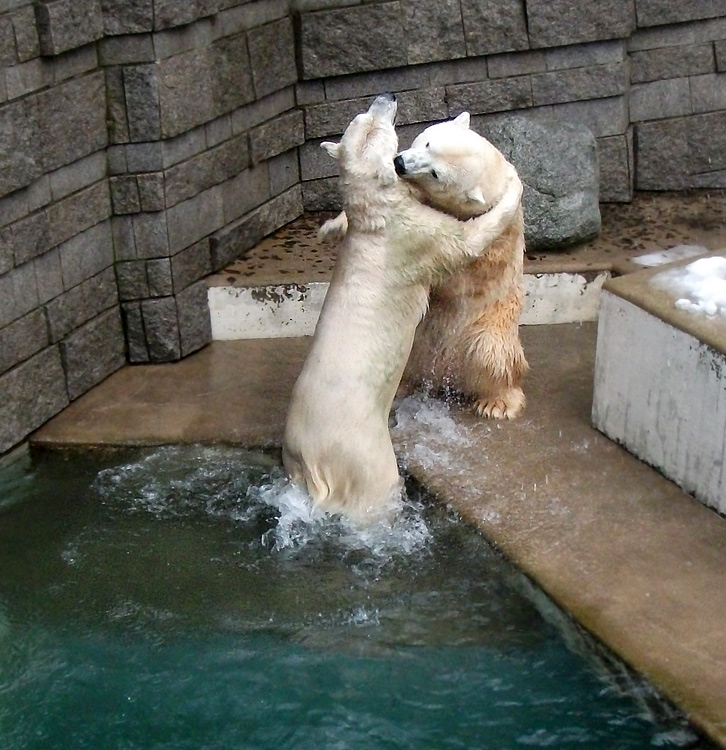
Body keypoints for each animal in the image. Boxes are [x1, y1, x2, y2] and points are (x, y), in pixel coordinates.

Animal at [282, 94, 528, 524]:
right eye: (384, 129)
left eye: (366, 116)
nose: (386, 96)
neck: (377, 215)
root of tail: (311, 465)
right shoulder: (416, 237)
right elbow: (466, 240)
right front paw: (511, 192)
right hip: (363, 452)